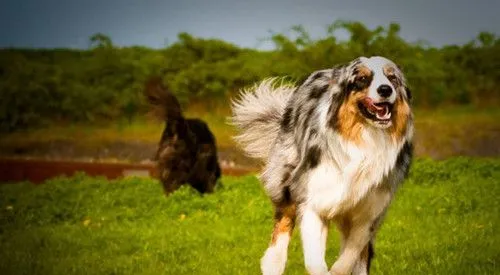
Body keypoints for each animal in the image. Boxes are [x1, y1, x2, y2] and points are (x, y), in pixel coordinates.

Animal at [232, 56, 412, 275]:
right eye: (361, 79)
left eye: (392, 78)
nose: (385, 89)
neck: (365, 139)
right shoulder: (313, 198)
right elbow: (315, 261)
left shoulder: (370, 213)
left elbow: (350, 256)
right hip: (286, 181)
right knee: (281, 230)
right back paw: (274, 262)